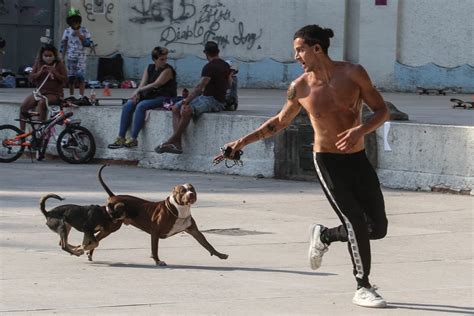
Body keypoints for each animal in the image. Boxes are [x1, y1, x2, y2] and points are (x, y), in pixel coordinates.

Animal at [97, 164, 229, 266]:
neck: (180, 210)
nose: (191, 194)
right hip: (112, 225)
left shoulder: (194, 231)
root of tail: (113, 196)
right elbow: (154, 249)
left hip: (111, 227)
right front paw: (158, 261)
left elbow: (207, 244)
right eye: (183, 191)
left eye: (192, 189)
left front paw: (220, 254)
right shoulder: (155, 232)